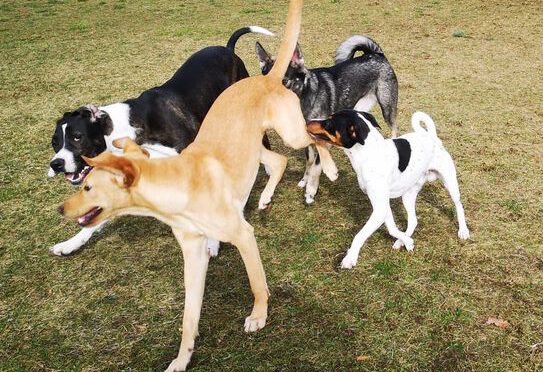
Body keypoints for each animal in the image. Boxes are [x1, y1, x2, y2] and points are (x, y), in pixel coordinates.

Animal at [48, 25, 274, 256]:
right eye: (55, 142)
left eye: (77, 137)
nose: (56, 164)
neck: (127, 129)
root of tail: (227, 48)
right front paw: (71, 243)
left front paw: (213, 241)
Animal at [255, 35, 400, 203]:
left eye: (283, 82)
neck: (304, 97)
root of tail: (376, 54)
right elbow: (310, 162)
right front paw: (304, 181)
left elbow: (317, 166)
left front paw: (311, 191)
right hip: (358, 109)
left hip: (387, 108)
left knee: (394, 128)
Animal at [306, 109, 472, 268]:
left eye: (329, 122)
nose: (307, 121)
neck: (369, 154)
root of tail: (430, 136)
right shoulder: (382, 204)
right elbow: (392, 228)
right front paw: (407, 241)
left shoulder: (379, 208)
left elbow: (360, 235)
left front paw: (350, 258)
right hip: (408, 194)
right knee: (413, 220)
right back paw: (402, 241)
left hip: (450, 183)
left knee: (458, 205)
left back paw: (463, 231)